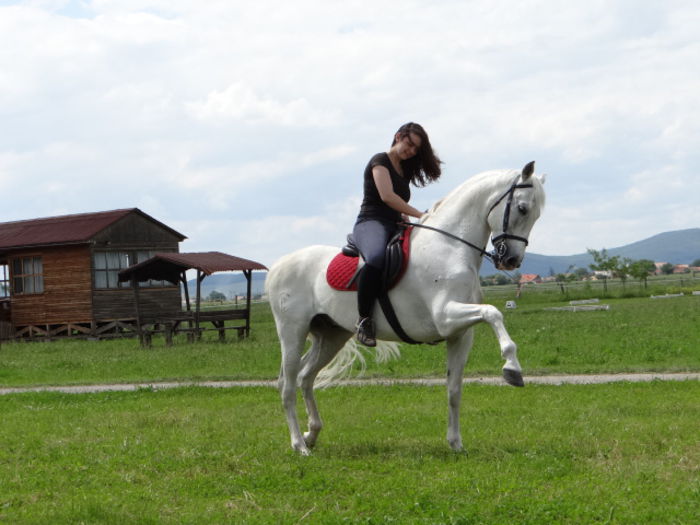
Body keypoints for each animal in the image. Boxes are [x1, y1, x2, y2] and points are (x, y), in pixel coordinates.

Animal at [266, 161, 544, 454]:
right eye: (522, 209)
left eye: (536, 215)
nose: (511, 260)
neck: (450, 246)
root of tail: (278, 266)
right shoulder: (446, 316)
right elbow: (493, 312)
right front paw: (512, 369)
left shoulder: (459, 333)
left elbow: (454, 389)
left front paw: (455, 443)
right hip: (292, 332)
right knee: (287, 385)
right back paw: (300, 445)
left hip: (331, 335)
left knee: (305, 377)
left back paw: (312, 434)